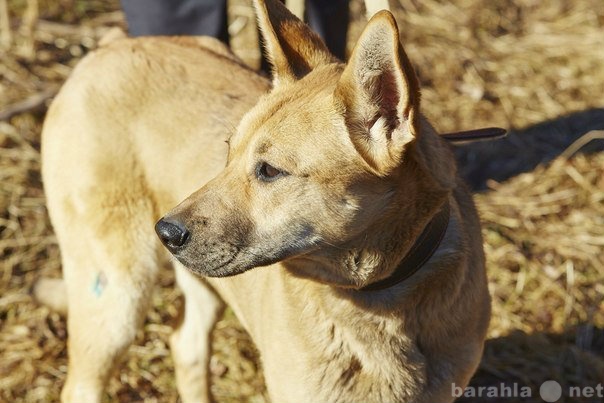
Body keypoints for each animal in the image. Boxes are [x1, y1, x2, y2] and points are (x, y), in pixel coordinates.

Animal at [36, 1, 490, 402]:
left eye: (269, 170)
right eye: (229, 150)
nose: (165, 232)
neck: (384, 300)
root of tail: (106, 48)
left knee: (186, 344)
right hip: (117, 292)